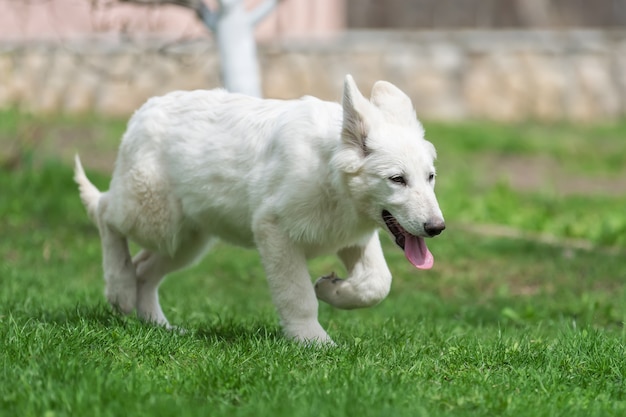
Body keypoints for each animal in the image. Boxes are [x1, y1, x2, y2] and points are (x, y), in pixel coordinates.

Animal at [74, 75, 444, 344]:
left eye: (430, 177)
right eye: (397, 179)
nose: (437, 228)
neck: (329, 174)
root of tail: (143, 110)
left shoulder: (352, 236)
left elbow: (377, 284)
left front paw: (331, 289)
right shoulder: (274, 231)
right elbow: (298, 296)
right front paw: (314, 342)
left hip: (185, 240)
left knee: (143, 270)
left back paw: (158, 325)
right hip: (154, 216)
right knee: (105, 213)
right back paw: (119, 288)